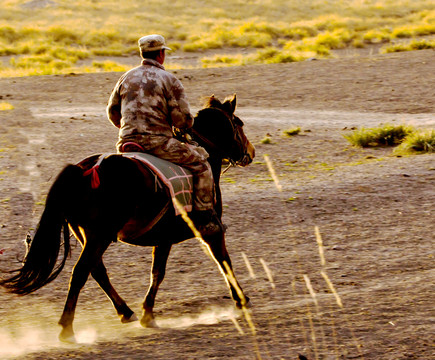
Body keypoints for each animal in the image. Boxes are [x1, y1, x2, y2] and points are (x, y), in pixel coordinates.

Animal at [0, 94, 255, 342]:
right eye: (239, 123)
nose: (251, 153)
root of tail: (87, 169)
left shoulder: (163, 239)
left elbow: (157, 273)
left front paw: (146, 313)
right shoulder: (211, 232)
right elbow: (223, 262)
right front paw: (241, 299)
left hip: (86, 234)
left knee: (97, 271)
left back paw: (125, 312)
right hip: (99, 236)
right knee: (81, 272)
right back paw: (67, 328)